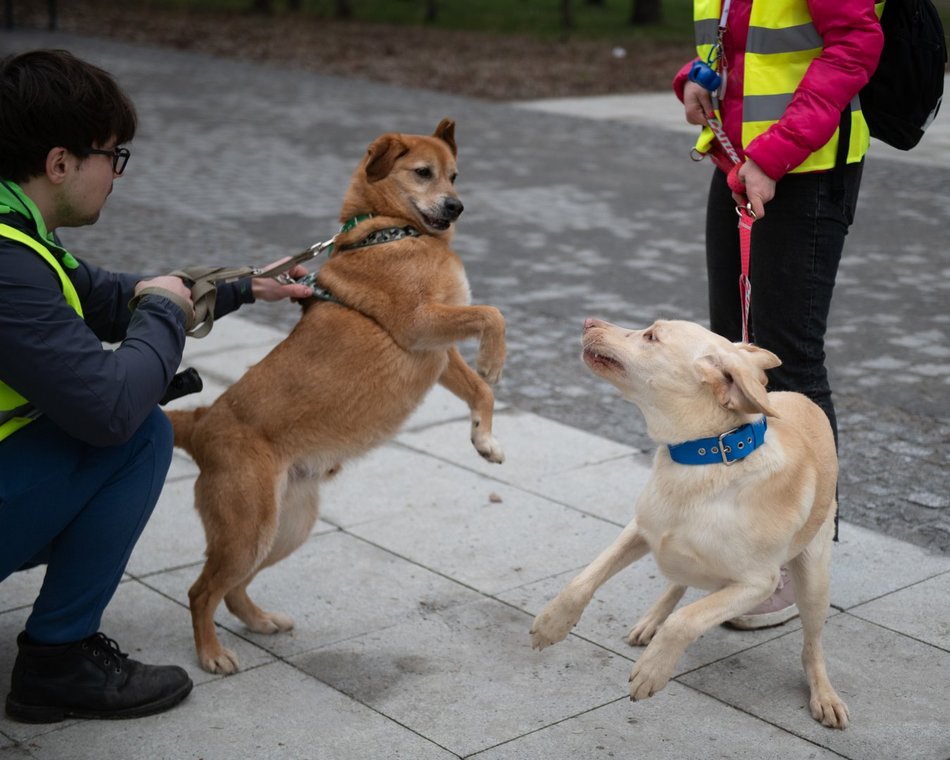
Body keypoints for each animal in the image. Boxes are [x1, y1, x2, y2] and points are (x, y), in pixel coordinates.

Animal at [165, 120, 506, 676]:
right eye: (423, 173)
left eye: (455, 175)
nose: (457, 206)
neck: (390, 230)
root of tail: (201, 420)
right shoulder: (422, 325)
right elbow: (492, 315)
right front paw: (496, 358)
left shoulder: (436, 352)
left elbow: (480, 390)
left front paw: (485, 440)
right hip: (247, 530)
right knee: (200, 592)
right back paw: (211, 654)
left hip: (285, 528)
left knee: (231, 590)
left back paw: (260, 621)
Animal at [532, 318, 852, 728]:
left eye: (651, 336)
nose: (589, 322)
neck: (705, 459)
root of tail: (802, 398)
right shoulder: (638, 530)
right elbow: (582, 581)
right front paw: (551, 625)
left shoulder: (756, 583)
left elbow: (686, 620)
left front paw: (652, 670)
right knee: (677, 583)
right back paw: (650, 620)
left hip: (813, 579)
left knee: (812, 645)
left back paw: (824, 694)